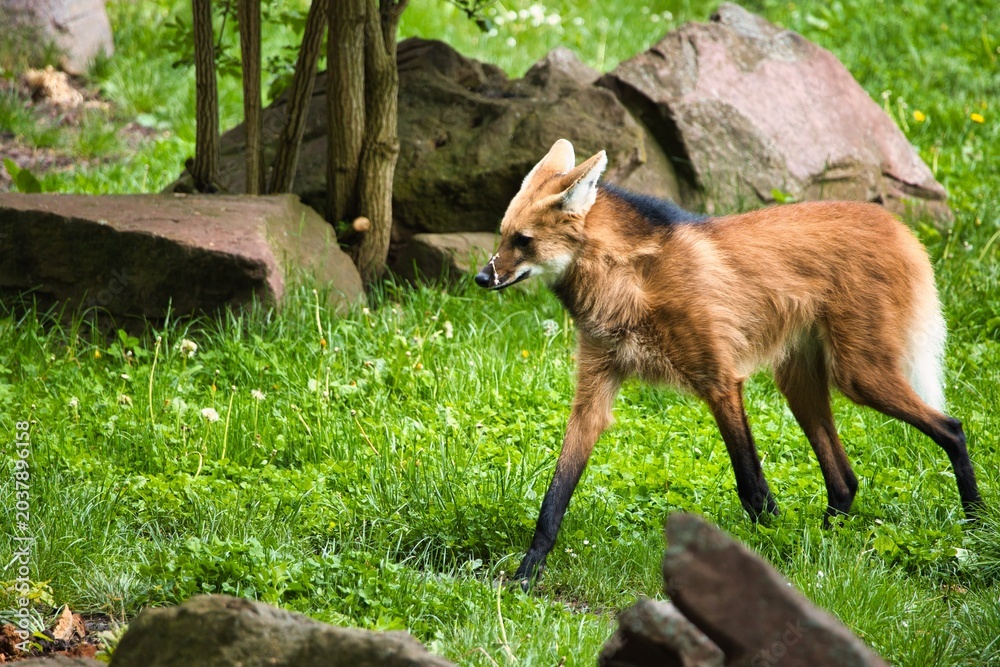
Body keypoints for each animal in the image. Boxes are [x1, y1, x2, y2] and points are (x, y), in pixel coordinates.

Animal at [475, 139, 982, 589]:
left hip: (858, 375)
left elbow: (750, 484)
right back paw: (824, 545)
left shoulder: (719, 380)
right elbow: (555, 495)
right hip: (798, 382)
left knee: (951, 428)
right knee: (845, 479)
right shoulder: (595, 392)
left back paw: (975, 525)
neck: (627, 277)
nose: (482, 277)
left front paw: (769, 551)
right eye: (502, 235)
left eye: (523, 240)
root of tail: (897, 225)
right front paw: (527, 572)